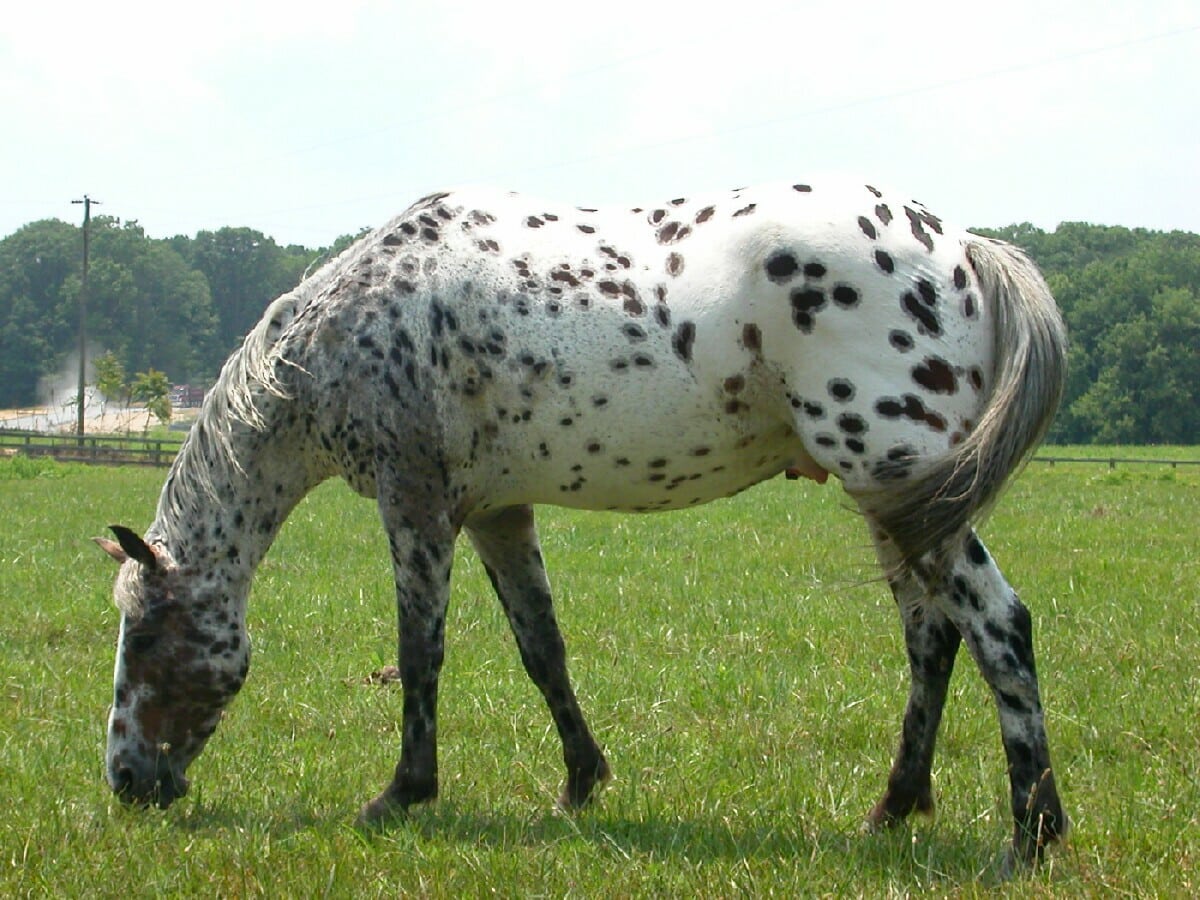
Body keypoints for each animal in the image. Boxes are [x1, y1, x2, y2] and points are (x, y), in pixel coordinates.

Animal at [96, 179, 1068, 864]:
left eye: (143, 634)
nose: (126, 780)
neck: (359, 323)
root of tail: (964, 249)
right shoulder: (495, 511)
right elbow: (541, 648)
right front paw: (579, 781)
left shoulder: (417, 504)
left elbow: (420, 653)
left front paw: (402, 793)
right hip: (895, 501)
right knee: (933, 640)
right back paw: (893, 807)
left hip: (895, 476)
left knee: (1000, 626)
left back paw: (1033, 834)